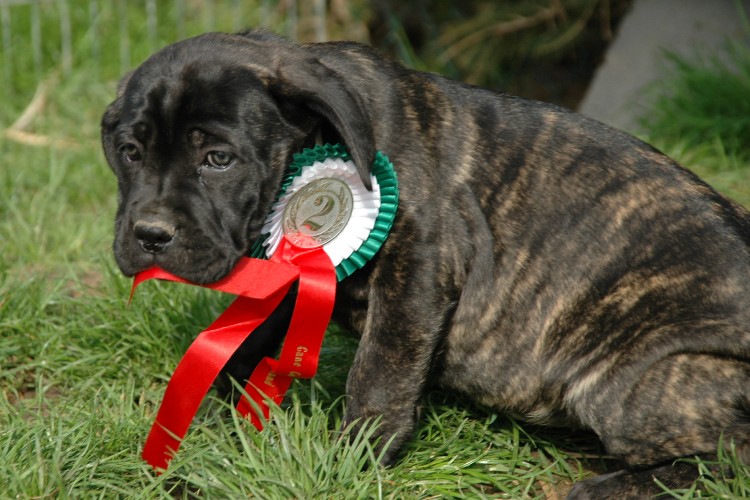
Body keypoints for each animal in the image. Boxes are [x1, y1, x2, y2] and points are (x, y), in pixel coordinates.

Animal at [101, 30, 750, 497]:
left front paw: (350, 462)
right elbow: (249, 337)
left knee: (731, 452)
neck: (328, 138)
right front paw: (203, 421)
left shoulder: (416, 269)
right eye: (130, 153)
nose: (149, 235)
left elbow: (379, 375)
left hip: (634, 383)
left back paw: (616, 486)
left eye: (219, 159)